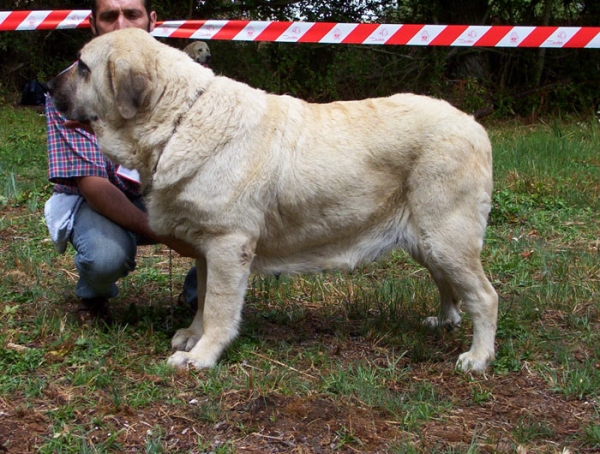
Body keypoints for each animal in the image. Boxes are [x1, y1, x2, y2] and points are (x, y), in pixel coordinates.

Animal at [49, 26, 500, 370]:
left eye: (83, 67)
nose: (48, 87)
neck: (179, 116)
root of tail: (473, 125)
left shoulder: (228, 245)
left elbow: (218, 306)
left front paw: (201, 356)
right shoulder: (207, 248)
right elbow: (203, 301)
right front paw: (193, 336)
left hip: (446, 236)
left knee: (484, 296)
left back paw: (477, 358)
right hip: (428, 239)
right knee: (448, 284)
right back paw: (443, 321)